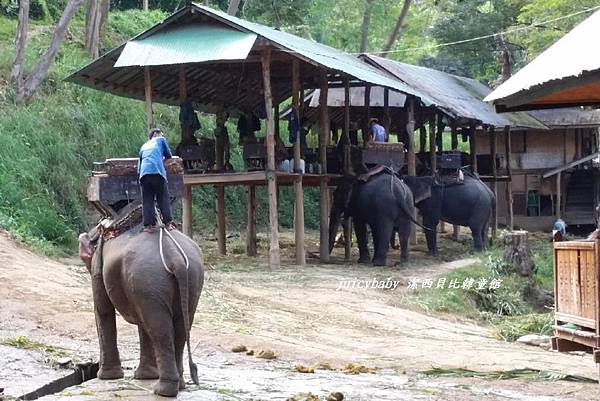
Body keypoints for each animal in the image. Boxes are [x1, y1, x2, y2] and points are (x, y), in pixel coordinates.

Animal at [78, 227, 205, 396]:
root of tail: (175, 255)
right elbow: (142, 323)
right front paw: (145, 376)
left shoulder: (98, 268)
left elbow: (103, 310)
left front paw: (106, 377)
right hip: (189, 278)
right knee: (180, 328)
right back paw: (180, 385)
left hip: (148, 278)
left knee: (159, 329)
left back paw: (162, 391)